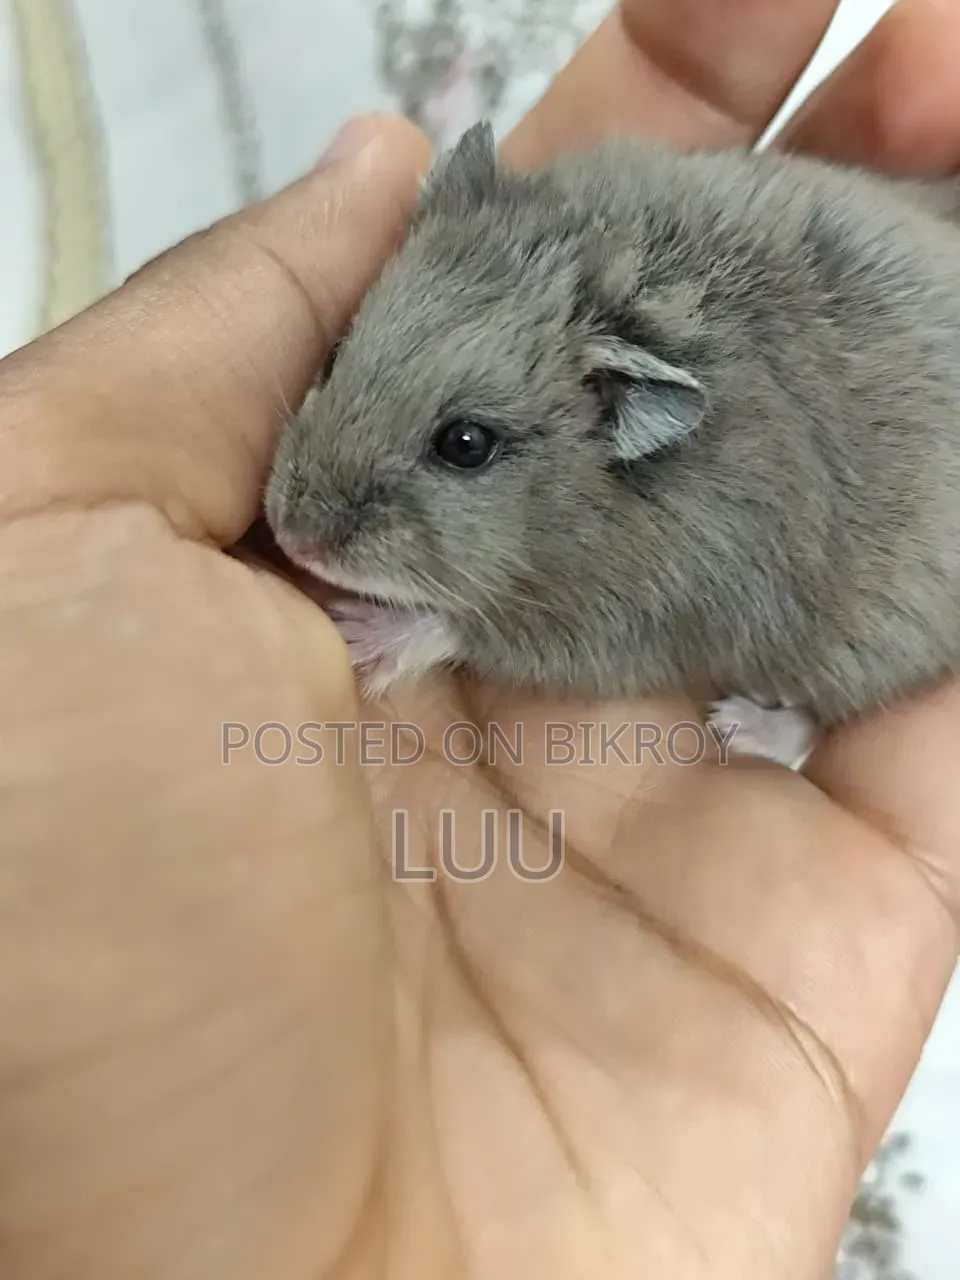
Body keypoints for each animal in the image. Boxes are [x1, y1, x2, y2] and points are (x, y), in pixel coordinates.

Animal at [264, 121, 960, 765]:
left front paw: (361, 635)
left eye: (465, 444)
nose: (292, 540)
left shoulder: (632, 621)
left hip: (865, 650)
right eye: (333, 355)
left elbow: (459, 626)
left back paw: (737, 724)